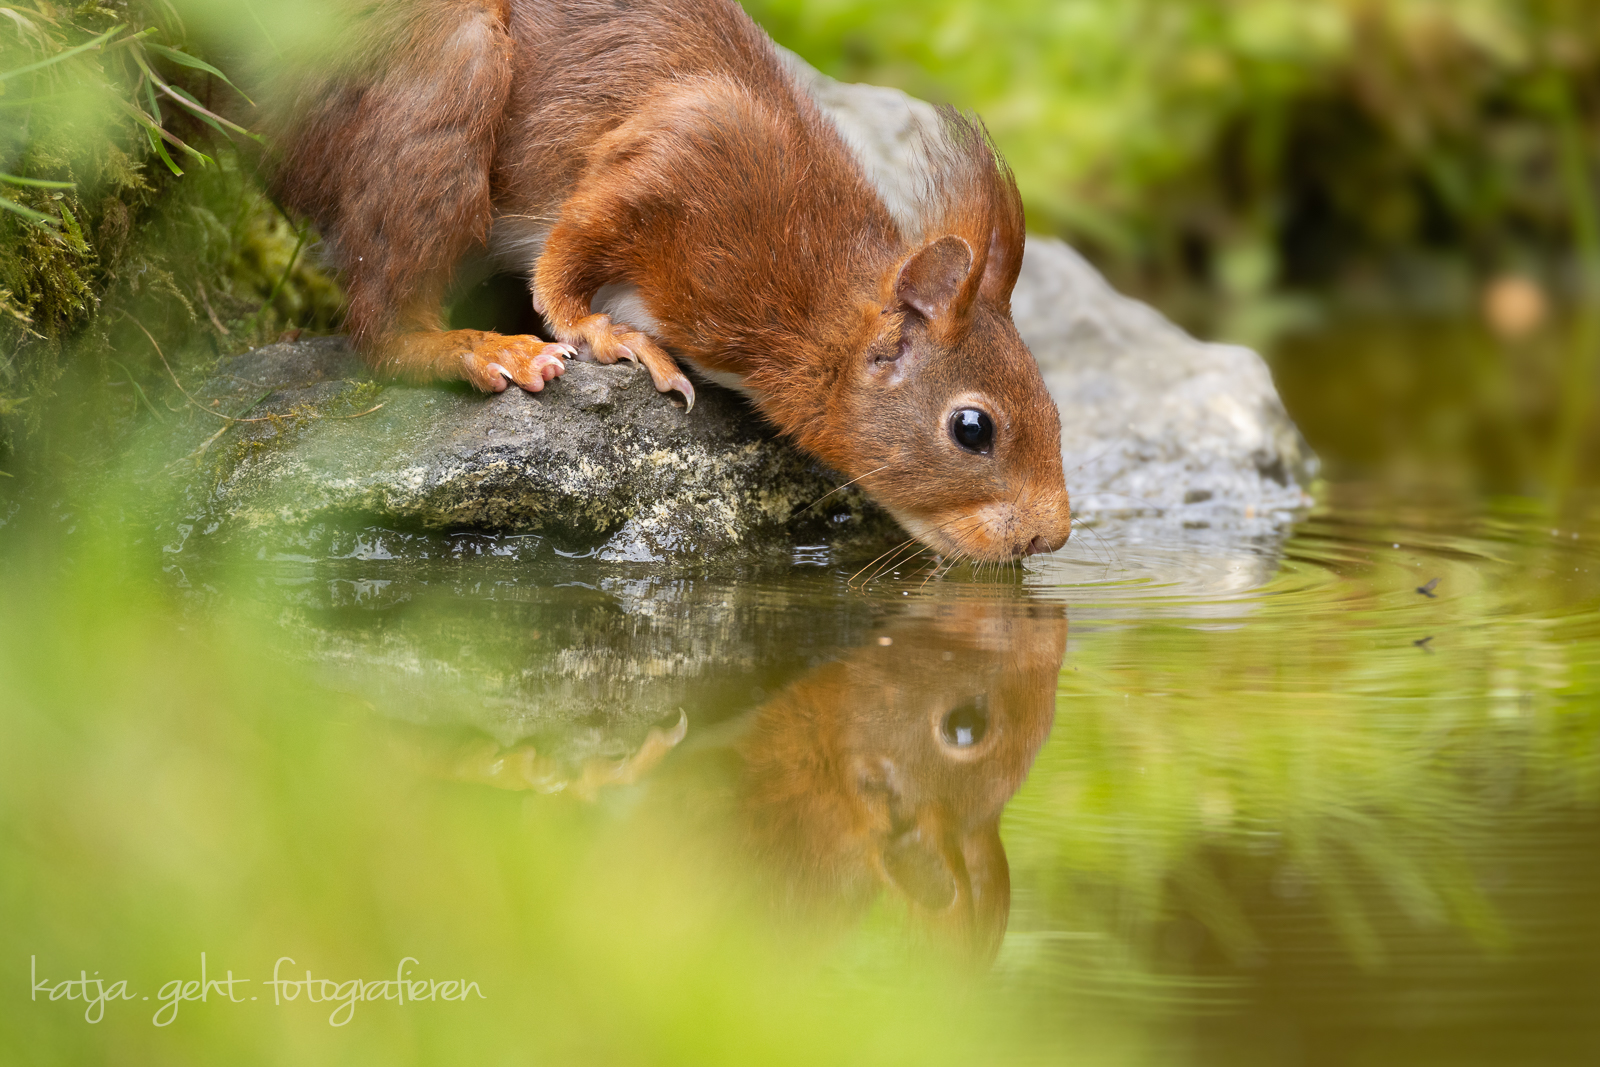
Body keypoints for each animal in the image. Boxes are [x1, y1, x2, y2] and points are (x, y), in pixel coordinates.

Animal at [266, 0, 1072, 562]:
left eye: (1057, 410)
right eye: (973, 429)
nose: (1053, 537)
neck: (814, 302)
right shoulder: (685, 148)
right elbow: (567, 252)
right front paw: (604, 334)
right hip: (445, 82)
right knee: (379, 321)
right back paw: (480, 347)